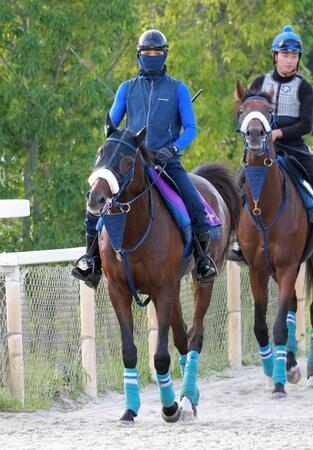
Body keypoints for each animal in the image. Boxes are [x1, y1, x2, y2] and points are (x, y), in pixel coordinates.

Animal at [86, 116, 239, 422]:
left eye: (125, 162)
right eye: (100, 152)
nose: (96, 199)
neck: (131, 231)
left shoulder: (163, 288)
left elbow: (160, 356)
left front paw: (169, 407)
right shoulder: (118, 290)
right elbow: (129, 351)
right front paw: (129, 409)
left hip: (200, 281)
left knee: (195, 337)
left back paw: (188, 398)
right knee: (182, 338)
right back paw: (188, 398)